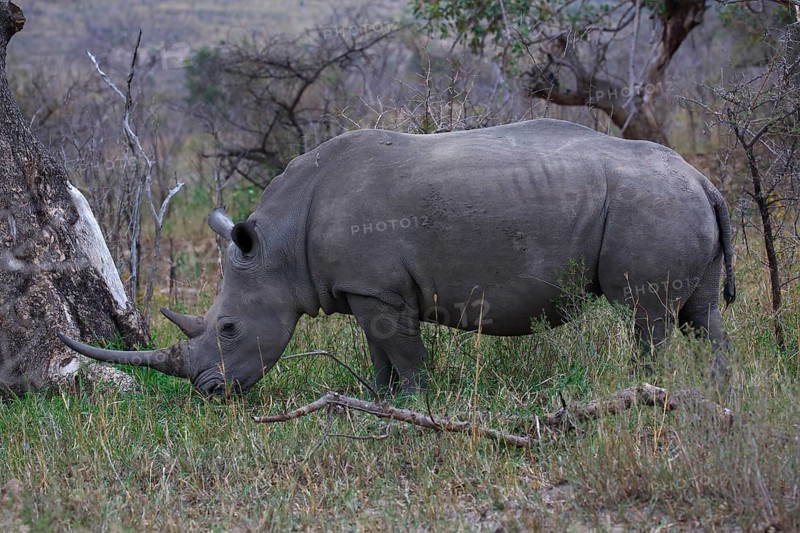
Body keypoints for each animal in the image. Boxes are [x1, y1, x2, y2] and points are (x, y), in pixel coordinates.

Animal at [59, 119, 735, 395]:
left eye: (227, 328)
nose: (209, 392)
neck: (277, 247)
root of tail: (704, 180)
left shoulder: (376, 288)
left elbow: (402, 349)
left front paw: (415, 403)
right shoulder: (363, 288)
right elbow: (377, 347)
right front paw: (382, 397)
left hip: (651, 204)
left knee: (648, 314)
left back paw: (643, 384)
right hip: (672, 200)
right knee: (701, 314)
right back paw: (715, 384)